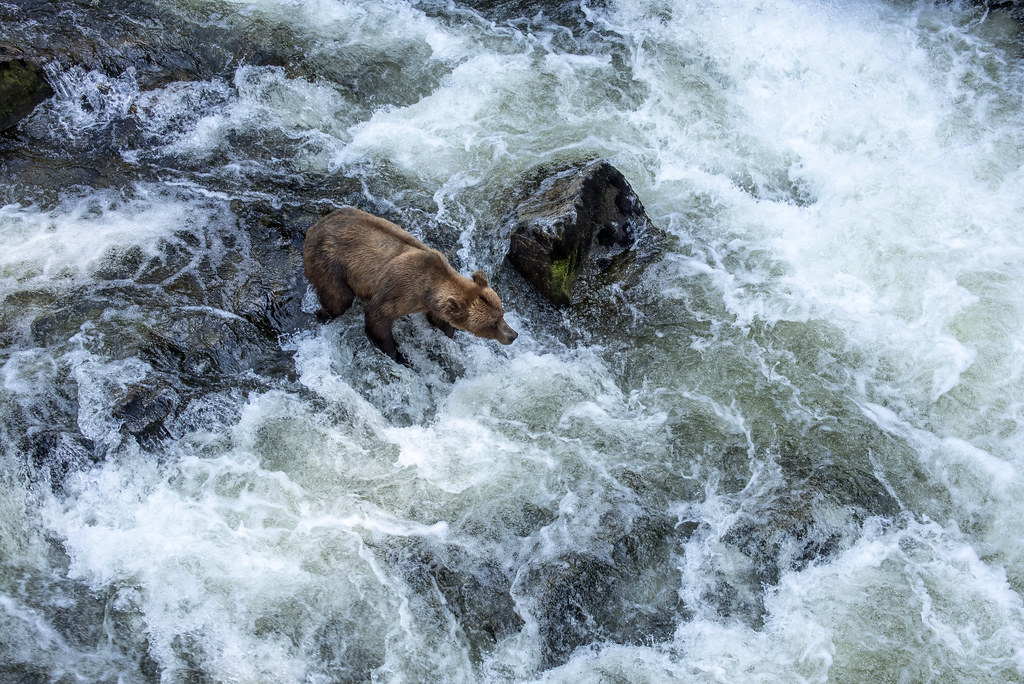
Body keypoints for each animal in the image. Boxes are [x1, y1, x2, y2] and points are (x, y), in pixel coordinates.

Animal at [303, 207, 518, 367]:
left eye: (502, 313)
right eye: (492, 323)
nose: (513, 335)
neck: (427, 290)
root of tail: (315, 226)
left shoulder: (435, 305)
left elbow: (439, 320)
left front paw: (448, 332)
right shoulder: (399, 290)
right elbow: (378, 316)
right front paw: (399, 355)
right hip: (330, 261)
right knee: (338, 299)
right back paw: (322, 313)